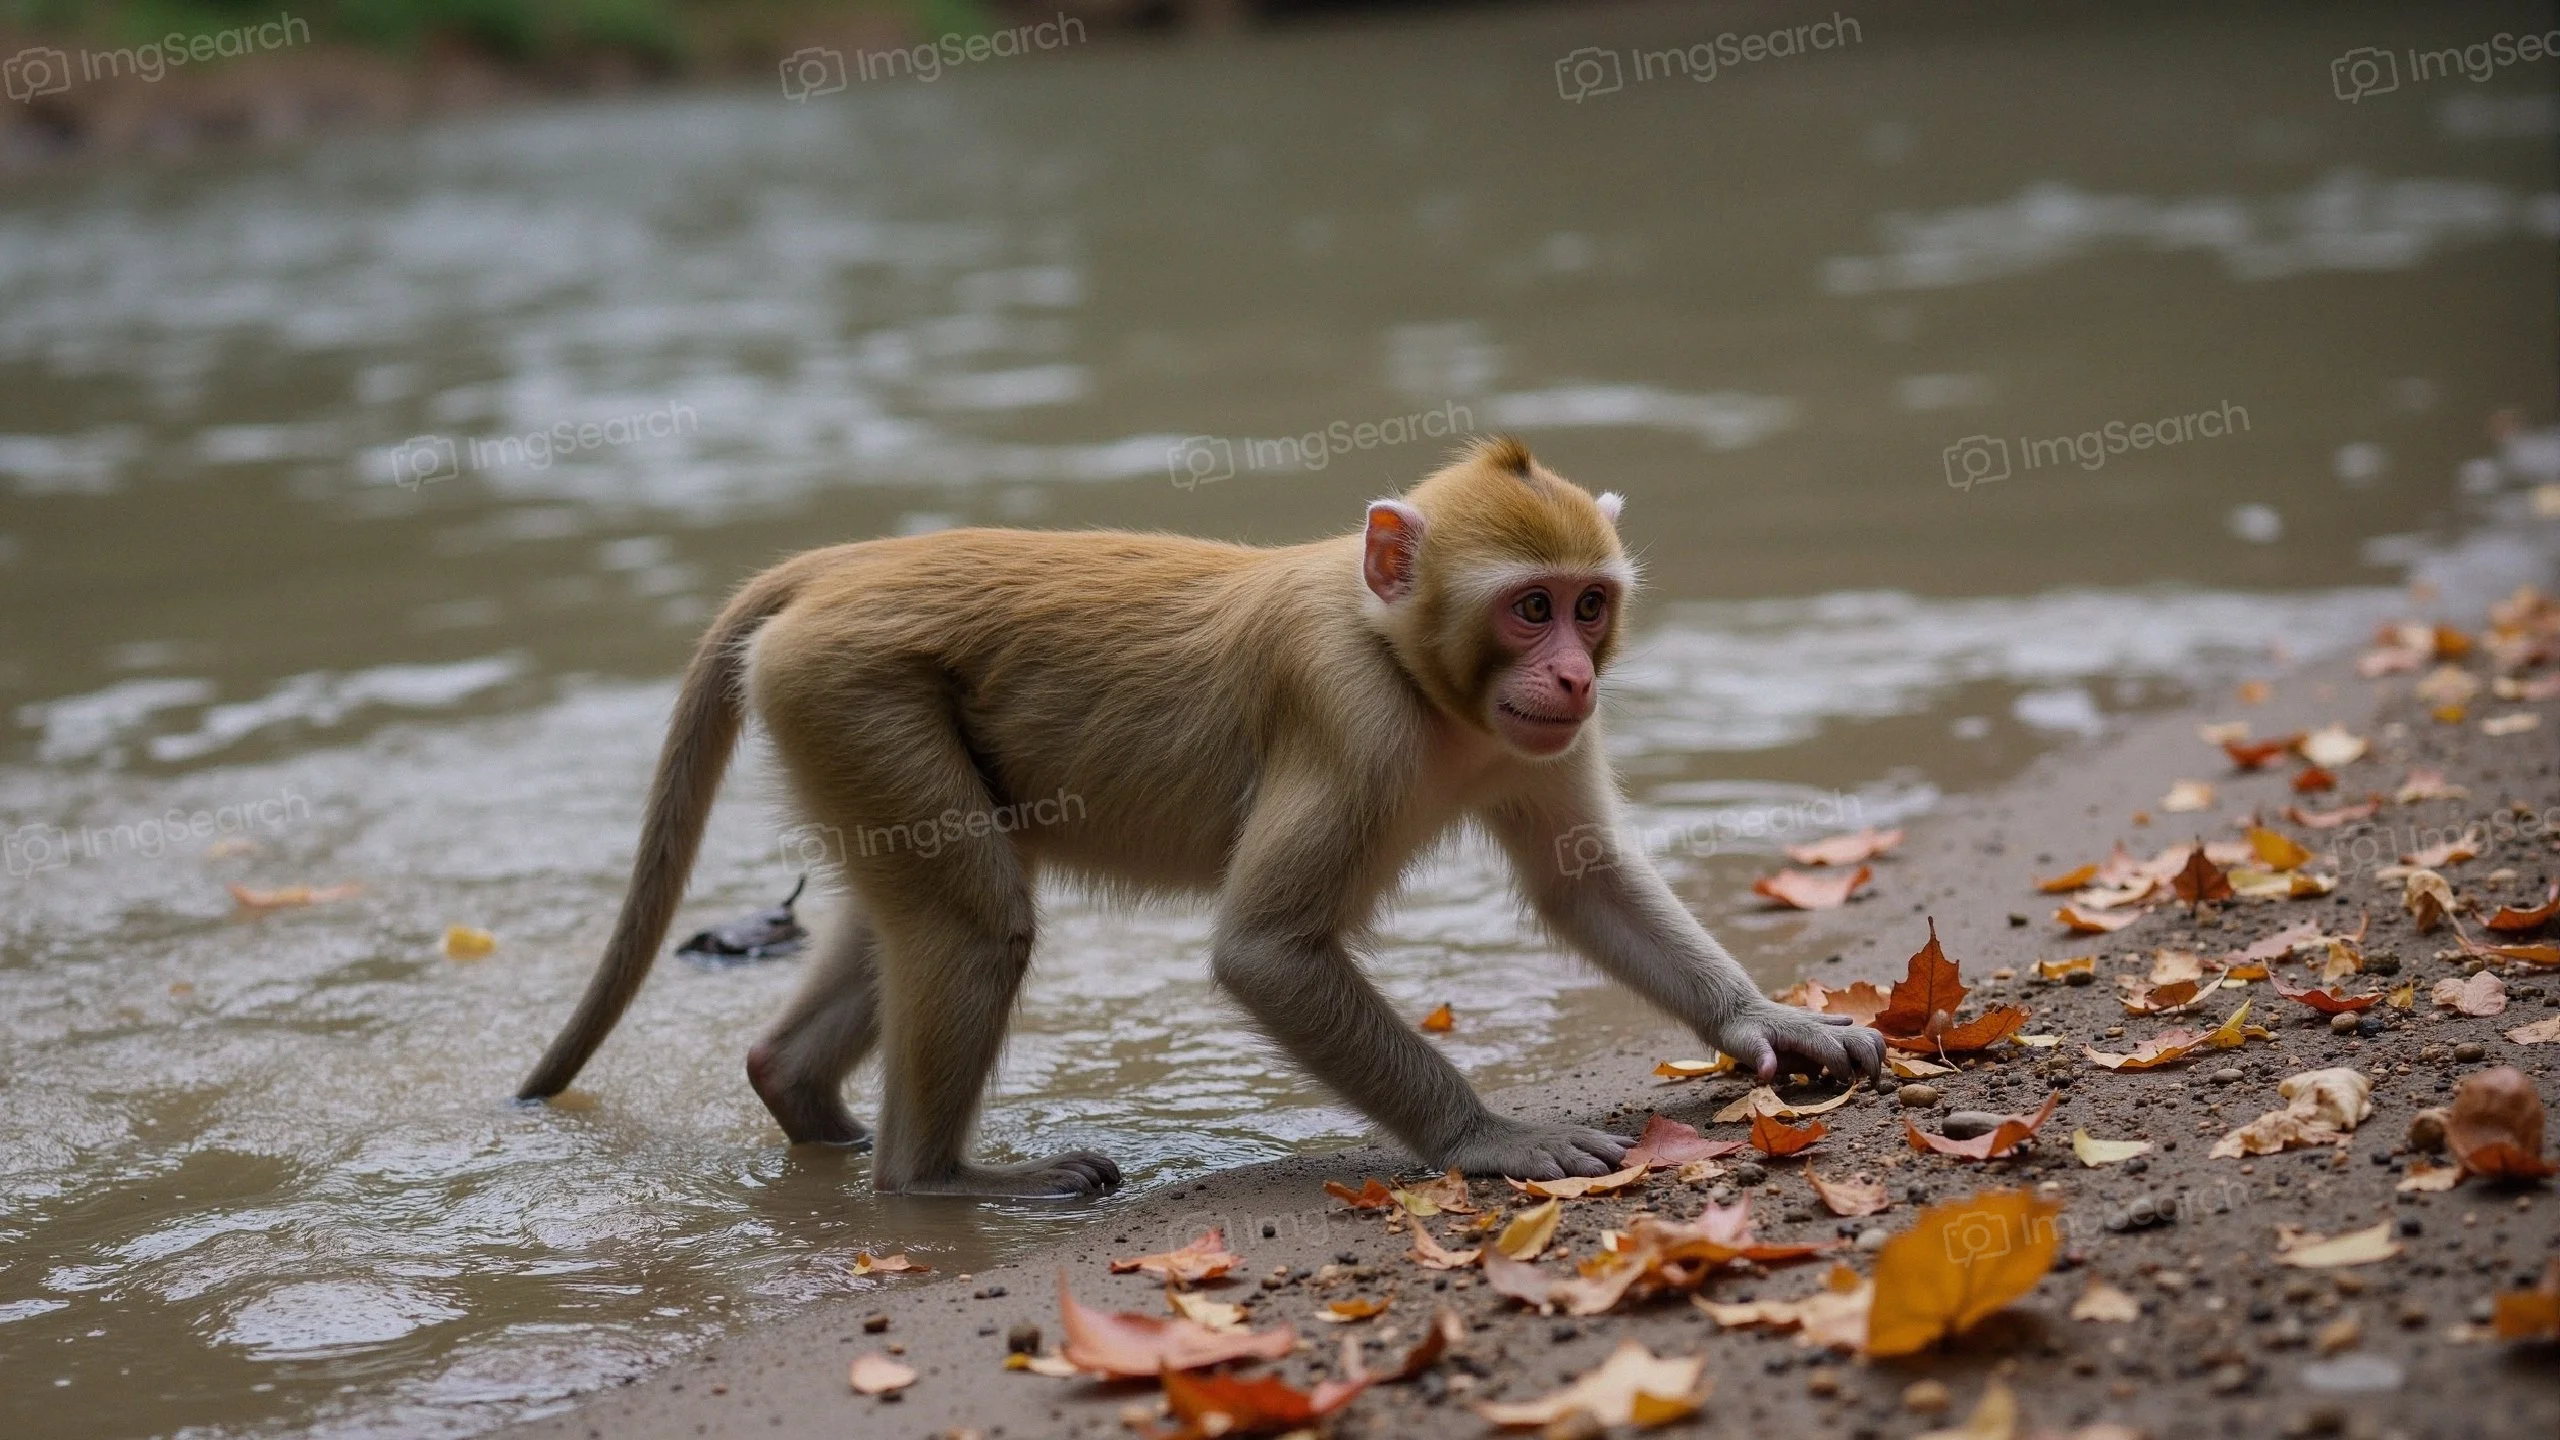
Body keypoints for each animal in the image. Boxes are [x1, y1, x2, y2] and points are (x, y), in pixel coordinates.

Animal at [517, 436, 1886, 1198]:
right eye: (1528, 607)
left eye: (1589, 605)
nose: (1571, 675)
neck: (1406, 662)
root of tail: (840, 568)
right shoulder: (1347, 712)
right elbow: (1266, 953)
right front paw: (1486, 1136)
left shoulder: (1534, 741)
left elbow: (1582, 883)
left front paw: (1765, 1021)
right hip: (851, 693)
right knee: (978, 923)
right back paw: (937, 1183)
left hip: (838, 717)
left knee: (928, 909)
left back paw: (802, 1093)